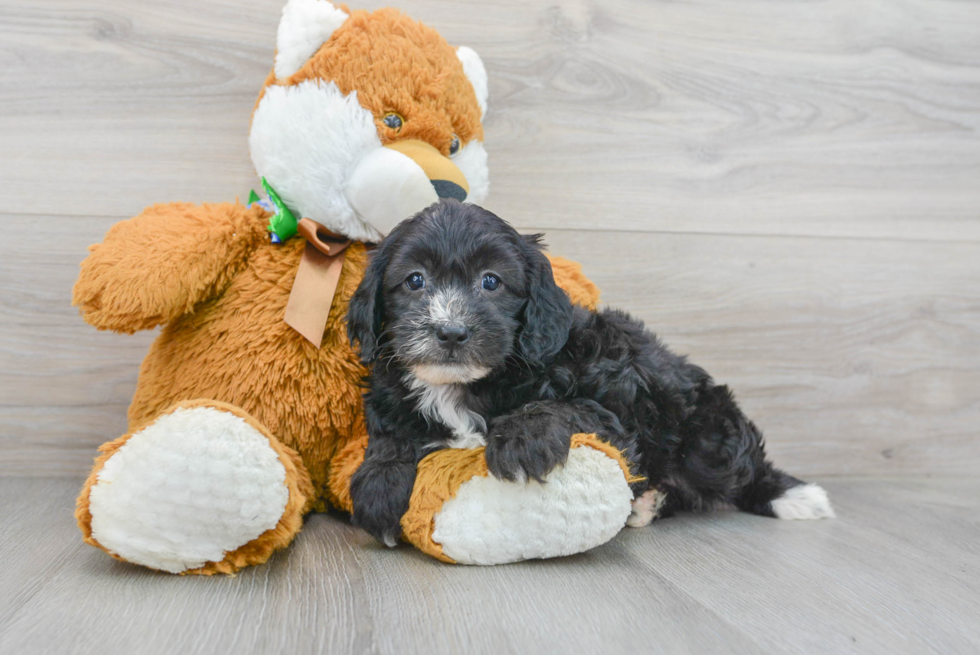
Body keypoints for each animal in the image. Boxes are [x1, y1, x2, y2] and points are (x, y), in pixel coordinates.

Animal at [346, 200, 836, 548]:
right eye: (414, 280)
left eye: (491, 281)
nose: (451, 331)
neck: (464, 385)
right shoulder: (388, 398)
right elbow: (390, 433)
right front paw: (380, 483)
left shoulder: (614, 411)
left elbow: (562, 407)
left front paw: (523, 438)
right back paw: (647, 503)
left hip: (707, 435)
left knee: (740, 469)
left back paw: (790, 495)